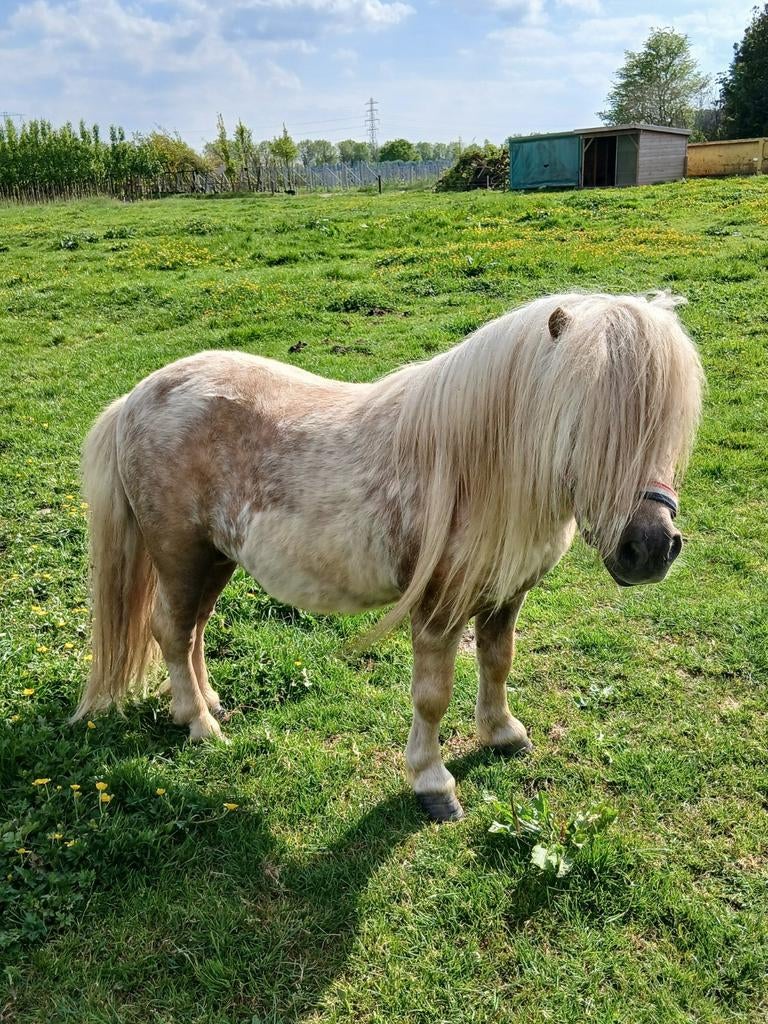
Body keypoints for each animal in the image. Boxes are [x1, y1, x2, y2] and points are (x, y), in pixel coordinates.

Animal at [72, 292, 703, 822]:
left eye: (667, 424)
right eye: (578, 421)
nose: (650, 549)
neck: (475, 469)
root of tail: (136, 399)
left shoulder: (505, 598)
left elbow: (498, 662)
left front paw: (502, 734)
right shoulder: (438, 611)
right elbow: (432, 697)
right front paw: (433, 784)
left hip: (214, 558)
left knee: (194, 629)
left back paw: (211, 704)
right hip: (180, 556)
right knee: (171, 630)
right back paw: (200, 726)